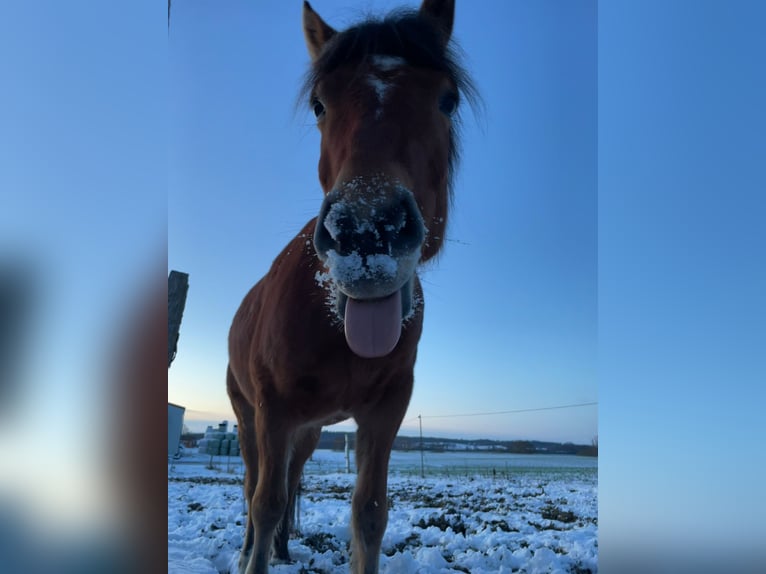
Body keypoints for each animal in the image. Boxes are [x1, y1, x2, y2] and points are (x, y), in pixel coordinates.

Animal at [226, 2, 474, 572]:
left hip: (310, 429)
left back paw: (284, 549)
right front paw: (256, 555)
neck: (337, 325)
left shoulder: (386, 412)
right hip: (248, 419)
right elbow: (265, 501)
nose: (366, 232)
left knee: (292, 478)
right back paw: (251, 549)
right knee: (255, 485)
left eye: (447, 99)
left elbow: (369, 513)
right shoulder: (272, 411)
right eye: (320, 104)